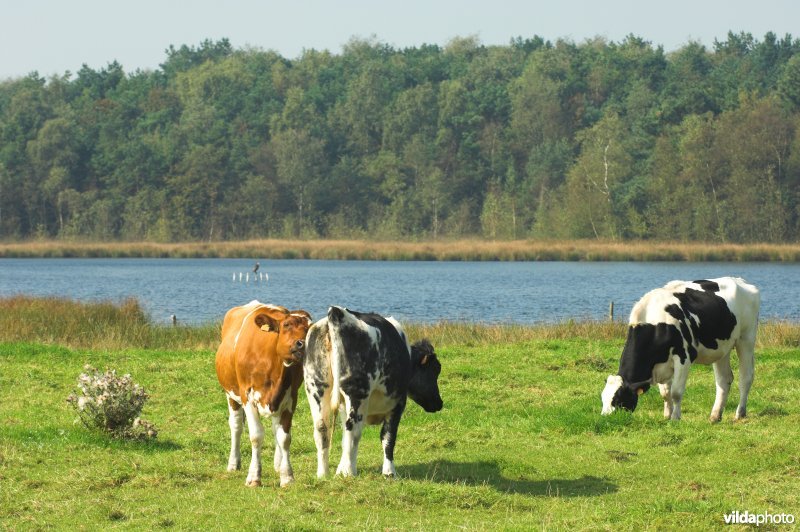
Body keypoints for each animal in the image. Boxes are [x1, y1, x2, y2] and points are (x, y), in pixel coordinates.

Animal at [214, 300, 310, 486]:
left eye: (310, 328)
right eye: (286, 325)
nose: (302, 343)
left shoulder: (290, 399)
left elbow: (284, 438)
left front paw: (287, 476)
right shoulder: (247, 396)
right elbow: (256, 436)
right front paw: (254, 477)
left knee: (275, 429)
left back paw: (278, 464)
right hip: (231, 395)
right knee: (236, 426)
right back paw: (233, 463)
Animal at [304, 308, 444, 478]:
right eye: (435, 369)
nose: (439, 402)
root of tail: (337, 313)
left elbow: (345, 440)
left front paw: (340, 468)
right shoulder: (398, 404)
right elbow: (388, 437)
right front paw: (389, 472)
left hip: (316, 388)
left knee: (322, 429)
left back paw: (324, 474)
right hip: (357, 393)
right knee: (353, 429)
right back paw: (349, 472)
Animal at [600, 276, 764, 422]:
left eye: (618, 399)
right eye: (602, 398)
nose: (605, 418)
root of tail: (740, 281)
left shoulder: (683, 357)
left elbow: (676, 392)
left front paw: (675, 418)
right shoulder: (661, 362)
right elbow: (665, 393)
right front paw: (667, 415)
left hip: (746, 339)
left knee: (746, 377)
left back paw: (739, 414)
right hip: (722, 348)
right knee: (724, 380)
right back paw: (715, 416)